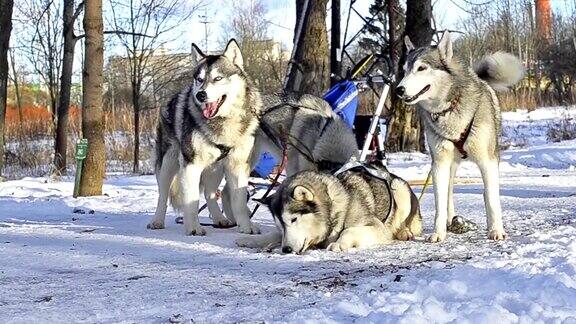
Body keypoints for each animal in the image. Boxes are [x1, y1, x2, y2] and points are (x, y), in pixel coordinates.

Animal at [150, 39, 264, 235]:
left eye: (218, 78)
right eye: (200, 79)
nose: (200, 95)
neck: (222, 122)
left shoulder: (238, 165)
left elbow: (239, 201)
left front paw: (246, 226)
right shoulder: (191, 166)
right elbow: (191, 201)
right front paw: (194, 228)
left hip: (215, 169)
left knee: (209, 194)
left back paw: (219, 219)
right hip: (168, 164)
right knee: (163, 195)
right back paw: (157, 221)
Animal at [236, 161, 420, 253]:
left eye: (294, 219)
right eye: (280, 224)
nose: (286, 249)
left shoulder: (377, 228)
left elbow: (349, 230)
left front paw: (340, 243)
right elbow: (273, 235)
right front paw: (251, 240)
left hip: (399, 190)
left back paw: (404, 232)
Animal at [394, 31, 524, 242]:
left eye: (421, 68)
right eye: (404, 70)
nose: (399, 90)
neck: (450, 107)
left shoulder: (488, 160)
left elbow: (492, 198)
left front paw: (496, 230)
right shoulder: (439, 163)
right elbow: (440, 202)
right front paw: (438, 233)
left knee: (486, 193)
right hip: (450, 165)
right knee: (448, 193)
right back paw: (450, 221)